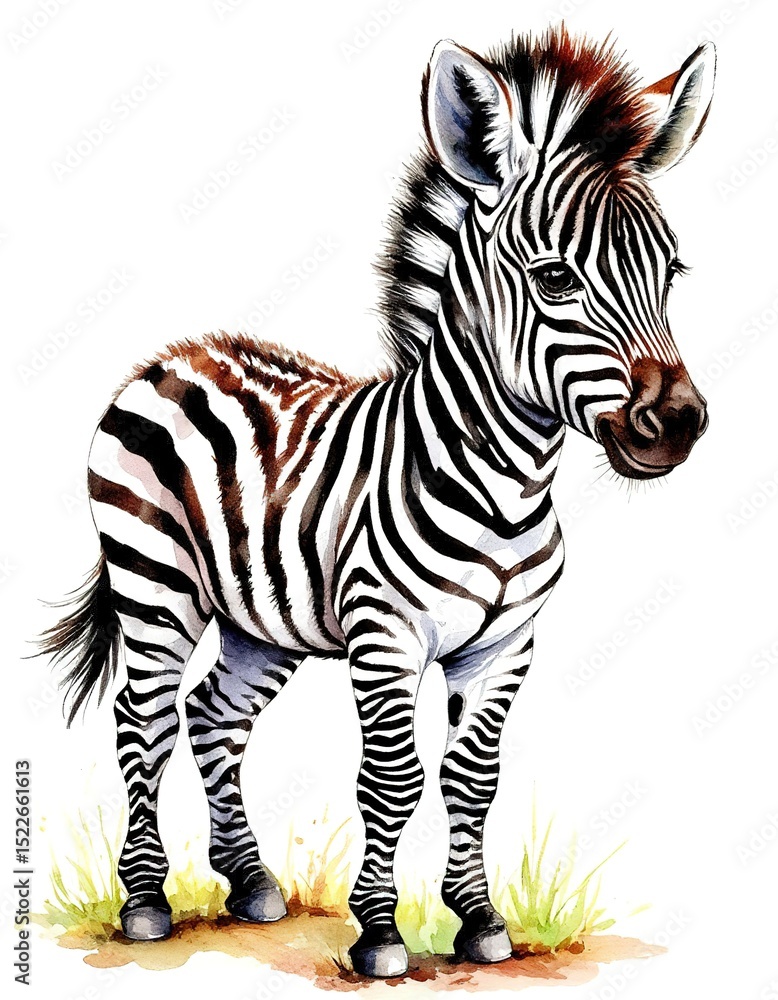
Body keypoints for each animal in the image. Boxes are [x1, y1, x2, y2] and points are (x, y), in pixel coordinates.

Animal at [42, 28, 714, 979]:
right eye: (553, 279)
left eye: (671, 270)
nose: (680, 424)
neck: (506, 484)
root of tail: (173, 356)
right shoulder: (385, 636)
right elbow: (392, 780)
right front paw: (380, 933)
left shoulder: (505, 646)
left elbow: (473, 780)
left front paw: (479, 921)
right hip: (155, 584)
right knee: (144, 717)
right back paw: (143, 901)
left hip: (258, 619)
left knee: (214, 715)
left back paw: (250, 884)